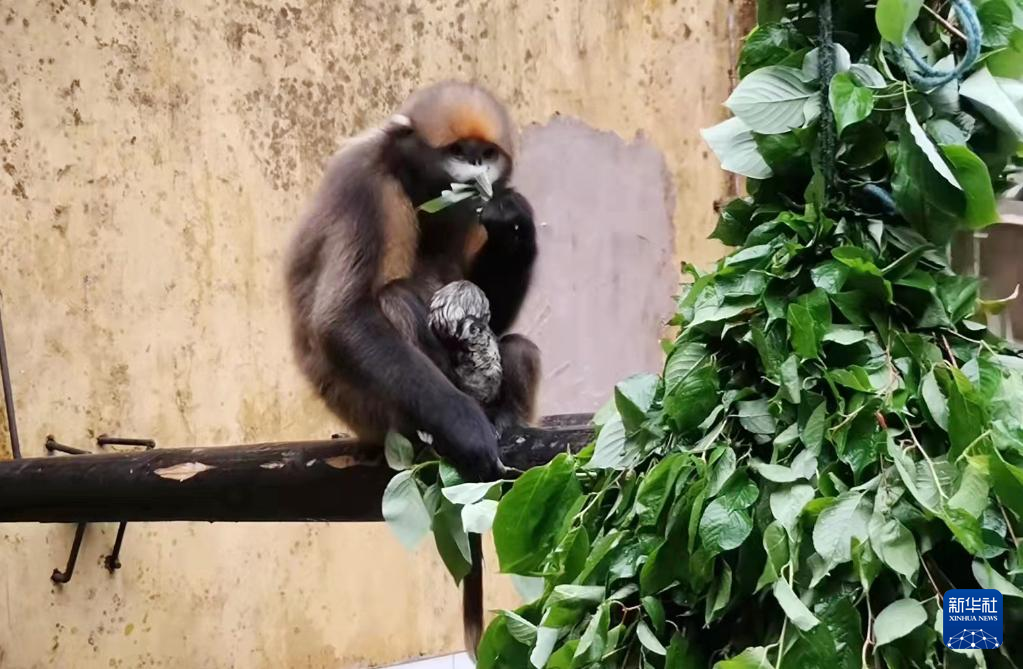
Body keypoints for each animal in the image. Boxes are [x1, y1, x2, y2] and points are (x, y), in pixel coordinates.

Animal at [283, 81, 540, 659]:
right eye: (459, 151)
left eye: (485, 153)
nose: (475, 167)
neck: (411, 182)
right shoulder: (363, 185)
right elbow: (342, 318)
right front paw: (463, 428)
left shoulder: (470, 208)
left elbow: (495, 307)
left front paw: (513, 221)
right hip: (366, 409)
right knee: (394, 299)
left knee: (519, 346)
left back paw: (504, 412)